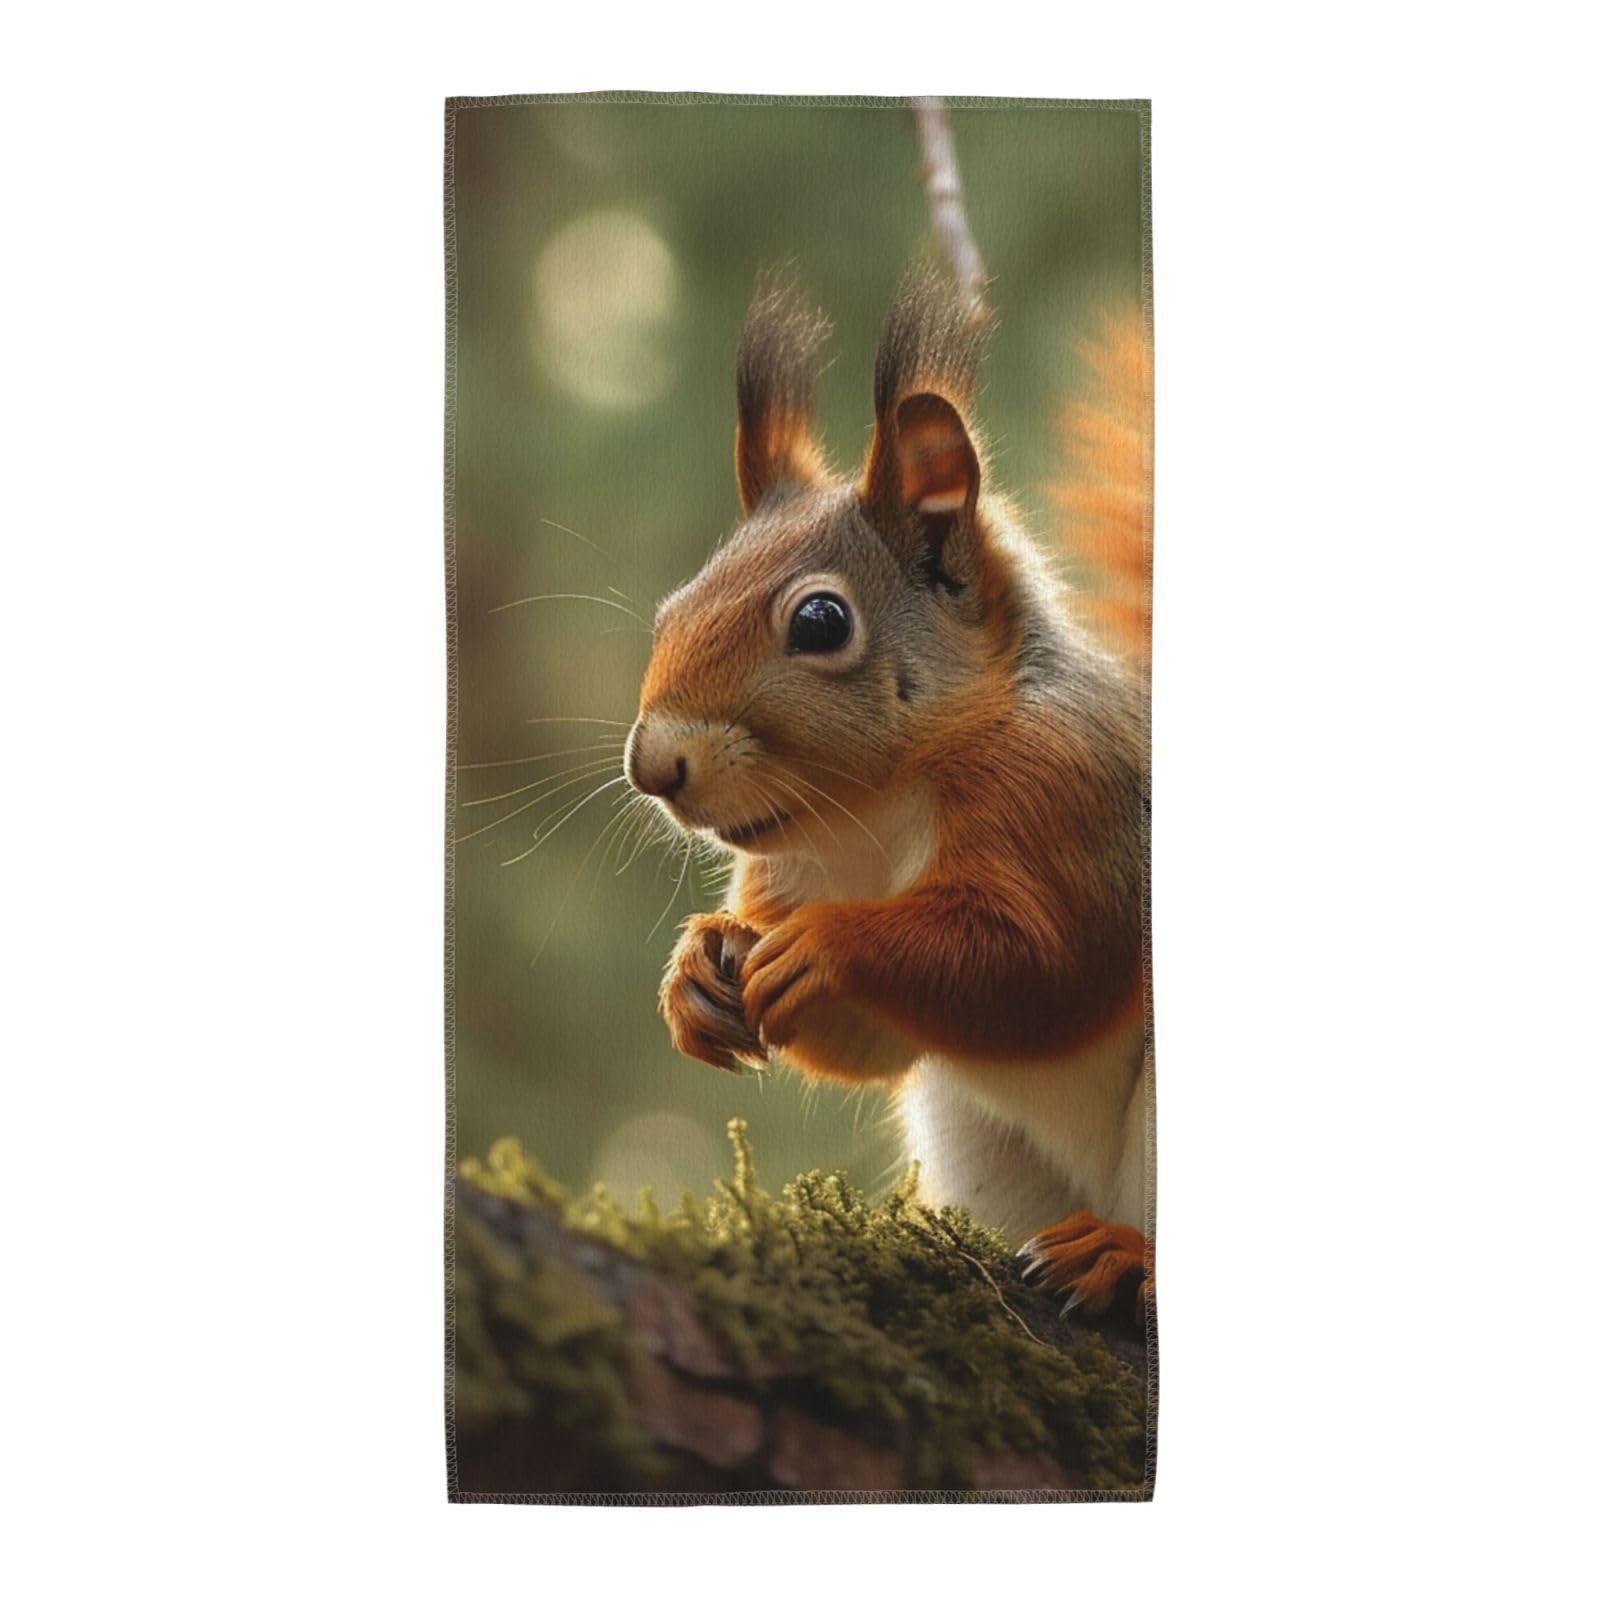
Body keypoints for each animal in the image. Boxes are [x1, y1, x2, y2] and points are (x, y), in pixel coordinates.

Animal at [623, 265, 1152, 1320]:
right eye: (671, 612)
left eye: (821, 621)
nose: (652, 767)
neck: (874, 814)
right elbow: (873, 1045)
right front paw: (699, 968)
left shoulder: (1067, 796)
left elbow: (1043, 963)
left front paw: (829, 947)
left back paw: (1124, 1254)